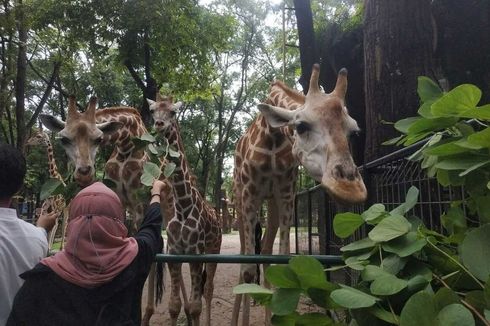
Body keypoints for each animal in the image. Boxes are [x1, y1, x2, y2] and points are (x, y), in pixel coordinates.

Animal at [145, 95, 222, 326]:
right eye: (152, 110)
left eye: (173, 112)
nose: (159, 124)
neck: (182, 207)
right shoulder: (174, 253)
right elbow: (174, 305)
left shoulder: (196, 253)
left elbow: (195, 307)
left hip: (214, 249)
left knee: (209, 289)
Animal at [232, 64, 366, 326]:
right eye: (301, 126)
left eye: (354, 132)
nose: (349, 188)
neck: (272, 137)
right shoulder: (250, 195)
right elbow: (248, 268)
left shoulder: (286, 195)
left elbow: (280, 259)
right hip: (239, 200)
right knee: (244, 257)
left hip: (271, 205)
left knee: (265, 251)